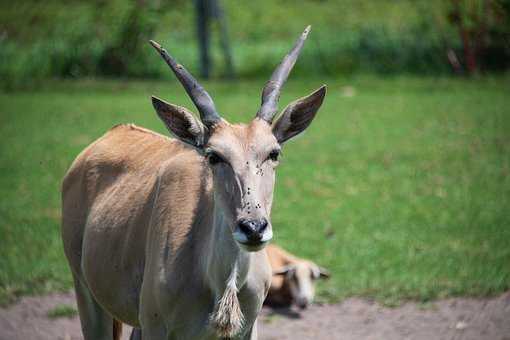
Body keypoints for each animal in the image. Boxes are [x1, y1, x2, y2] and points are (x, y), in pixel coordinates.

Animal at [60, 26, 326, 340]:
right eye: (213, 156)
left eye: (273, 153)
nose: (253, 228)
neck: (220, 284)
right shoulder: (155, 326)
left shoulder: (247, 329)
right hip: (87, 292)